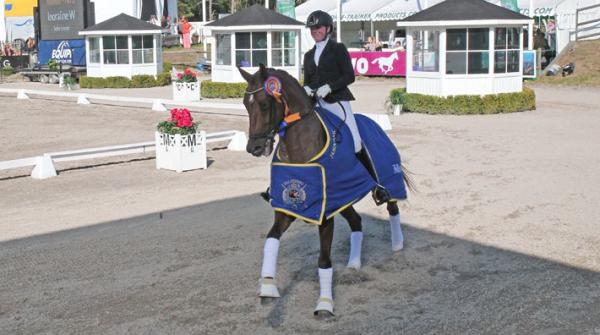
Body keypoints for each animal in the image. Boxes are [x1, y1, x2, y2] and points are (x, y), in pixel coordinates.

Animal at [239, 64, 412, 318]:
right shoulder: (289, 208)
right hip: (344, 199)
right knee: (357, 222)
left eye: (263, 104)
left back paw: (398, 244)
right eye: (245, 104)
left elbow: (323, 261)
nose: (255, 148)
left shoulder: (325, 214)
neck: (299, 151)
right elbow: (270, 240)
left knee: (392, 206)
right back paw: (354, 263)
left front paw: (324, 304)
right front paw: (268, 288)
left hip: (388, 179)